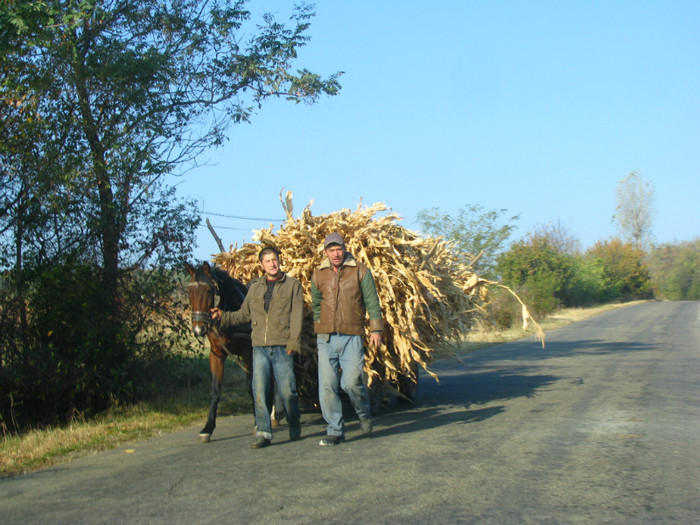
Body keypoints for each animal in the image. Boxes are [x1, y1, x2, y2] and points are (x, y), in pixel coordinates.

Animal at [183, 260, 254, 440]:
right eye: (189, 291)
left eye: (209, 291)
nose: (198, 329)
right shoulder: (216, 354)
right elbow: (214, 391)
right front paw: (208, 427)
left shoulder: (248, 353)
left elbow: (252, 387)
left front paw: (259, 421)